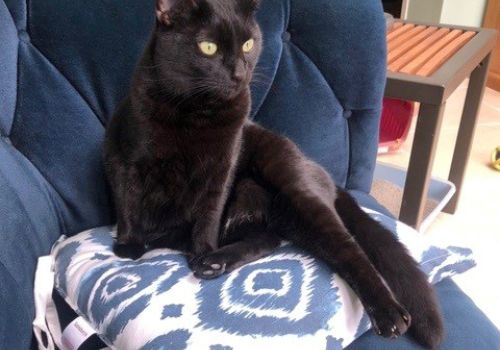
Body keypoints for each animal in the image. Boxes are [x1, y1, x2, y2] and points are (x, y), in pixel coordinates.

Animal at [103, 1, 444, 348]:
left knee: (348, 248)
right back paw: (217, 262)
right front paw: (129, 246)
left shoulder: (221, 169)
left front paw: (201, 250)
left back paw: (390, 313)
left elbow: (208, 214)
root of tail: (318, 170)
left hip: (293, 189)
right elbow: (127, 202)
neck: (197, 112)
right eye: (208, 47)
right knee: (268, 239)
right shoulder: (123, 158)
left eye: (248, 44)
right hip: (280, 214)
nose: (239, 73)